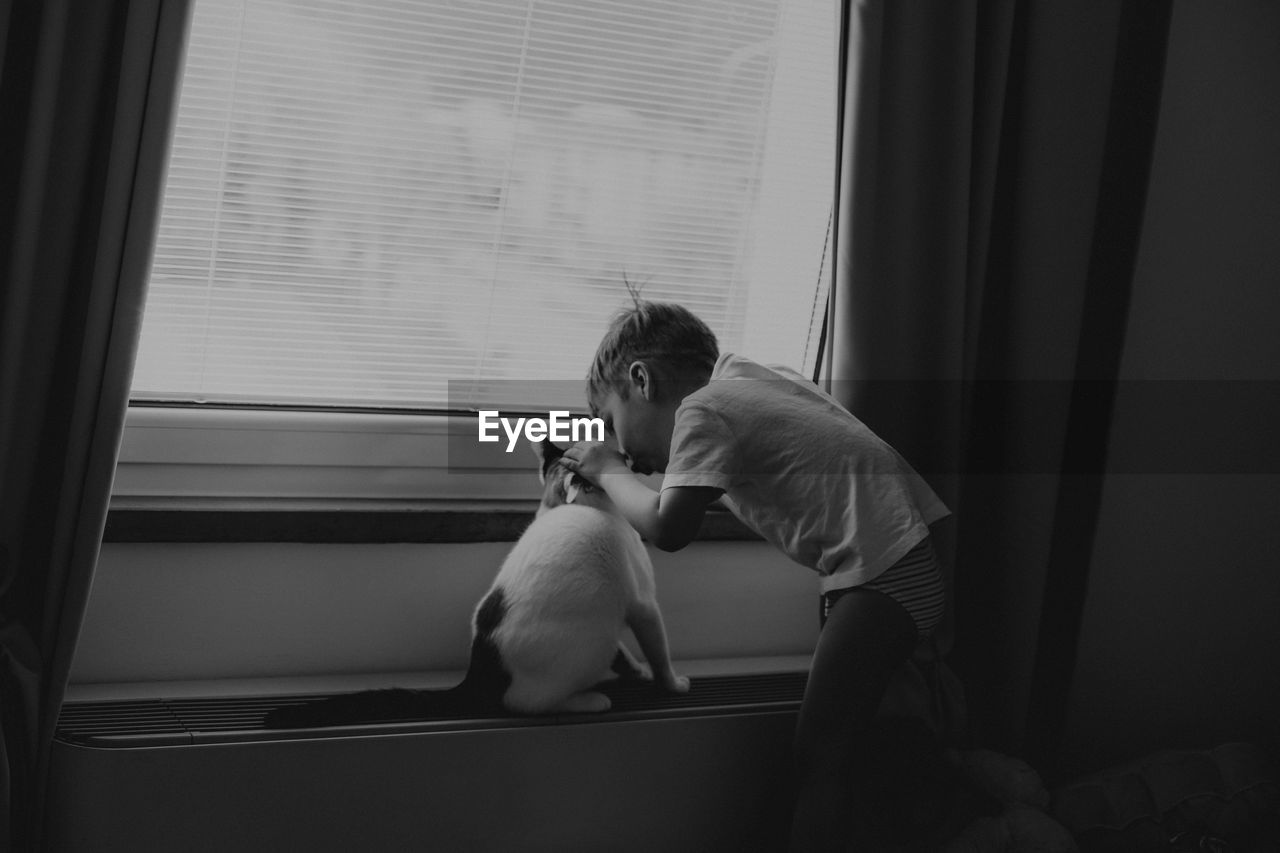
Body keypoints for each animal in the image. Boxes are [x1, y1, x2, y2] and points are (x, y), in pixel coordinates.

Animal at [262, 438, 691, 722]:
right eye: (614, 456)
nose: (628, 453)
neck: (566, 506)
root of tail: (479, 669)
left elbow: (628, 654)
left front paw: (637, 671)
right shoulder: (643, 604)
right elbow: (658, 650)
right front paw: (669, 682)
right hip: (591, 642)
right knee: (523, 703)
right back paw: (590, 700)